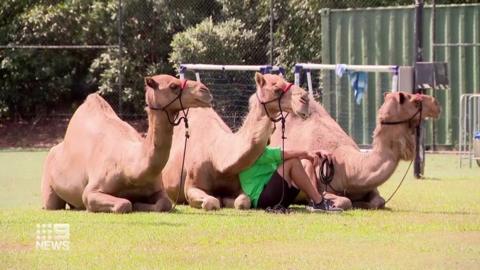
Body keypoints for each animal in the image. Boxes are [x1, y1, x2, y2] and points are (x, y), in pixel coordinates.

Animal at [40, 74, 213, 213]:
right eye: (173, 86)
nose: (205, 91)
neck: (130, 166)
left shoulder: (158, 188)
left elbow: (165, 203)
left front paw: (139, 203)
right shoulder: (91, 191)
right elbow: (123, 204)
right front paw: (134, 203)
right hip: (49, 186)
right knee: (51, 204)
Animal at [163, 73, 310, 210]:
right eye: (276, 88)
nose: (306, 99)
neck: (217, 157)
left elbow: (243, 202)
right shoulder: (191, 186)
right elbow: (211, 201)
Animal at [268, 92, 440, 210]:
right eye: (416, 101)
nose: (436, 104)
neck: (348, 168)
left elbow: (379, 201)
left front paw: (362, 203)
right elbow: (346, 201)